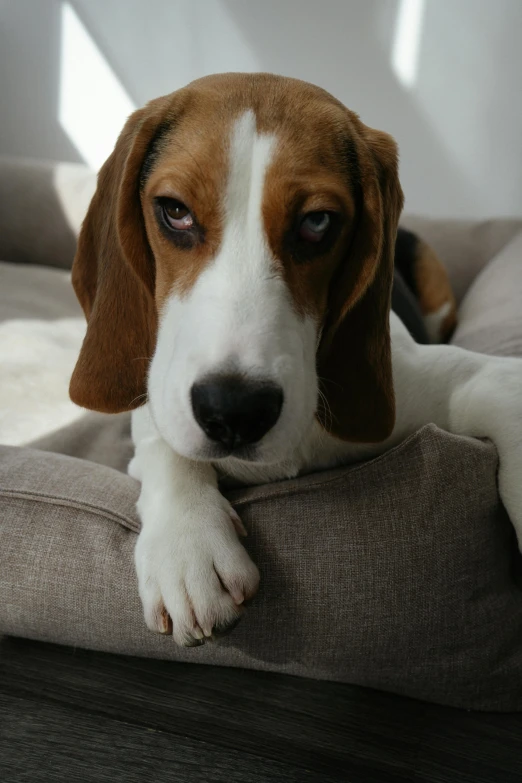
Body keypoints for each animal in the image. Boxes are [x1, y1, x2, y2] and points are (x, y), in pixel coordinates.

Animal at [69, 75, 520, 648]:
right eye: (174, 211)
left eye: (317, 222)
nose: (235, 410)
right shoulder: (155, 393)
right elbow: (164, 442)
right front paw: (187, 543)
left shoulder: (486, 379)